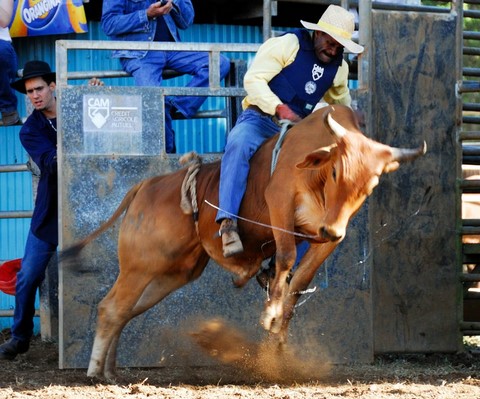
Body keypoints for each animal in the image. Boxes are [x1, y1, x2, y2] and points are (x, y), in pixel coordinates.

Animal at [62, 104, 424, 380]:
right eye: (336, 172)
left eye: (371, 183)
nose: (332, 229)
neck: (315, 175)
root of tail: (148, 185)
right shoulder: (280, 202)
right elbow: (287, 257)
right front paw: (270, 314)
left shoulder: (327, 235)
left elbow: (299, 278)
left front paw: (279, 334)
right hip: (140, 267)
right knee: (111, 308)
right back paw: (95, 371)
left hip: (171, 273)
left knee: (125, 311)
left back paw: (110, 370)